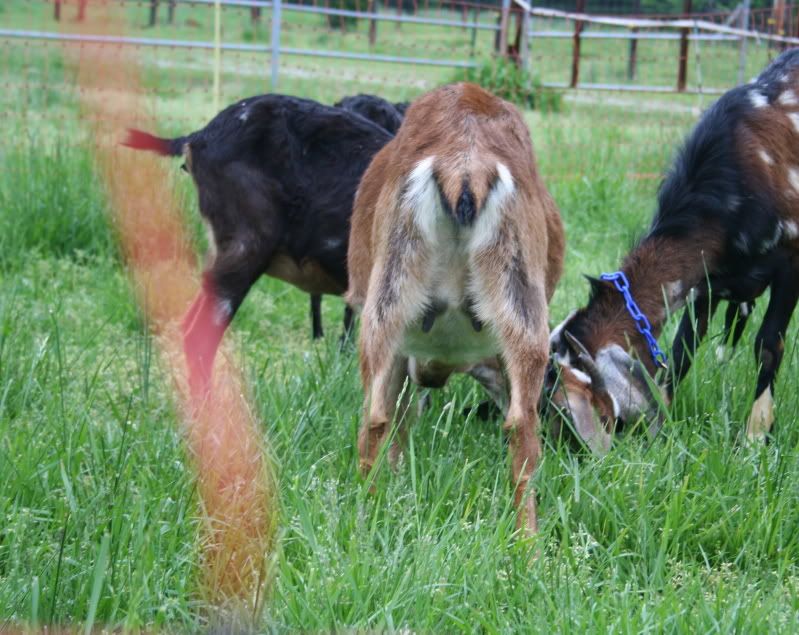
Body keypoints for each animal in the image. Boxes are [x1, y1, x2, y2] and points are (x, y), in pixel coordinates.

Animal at [347, 83, 565, 535]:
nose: (431, 376)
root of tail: (465, 166)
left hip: (388, 299)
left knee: (376, 416)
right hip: (519, 306)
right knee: (522, 427)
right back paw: (528, 543)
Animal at [550, 49, 799, 445]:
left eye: (568, 404)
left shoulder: (791, 260)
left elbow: (768, 344)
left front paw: (756, 434)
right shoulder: (708, 281)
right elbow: (684, 347)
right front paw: (663, 422)